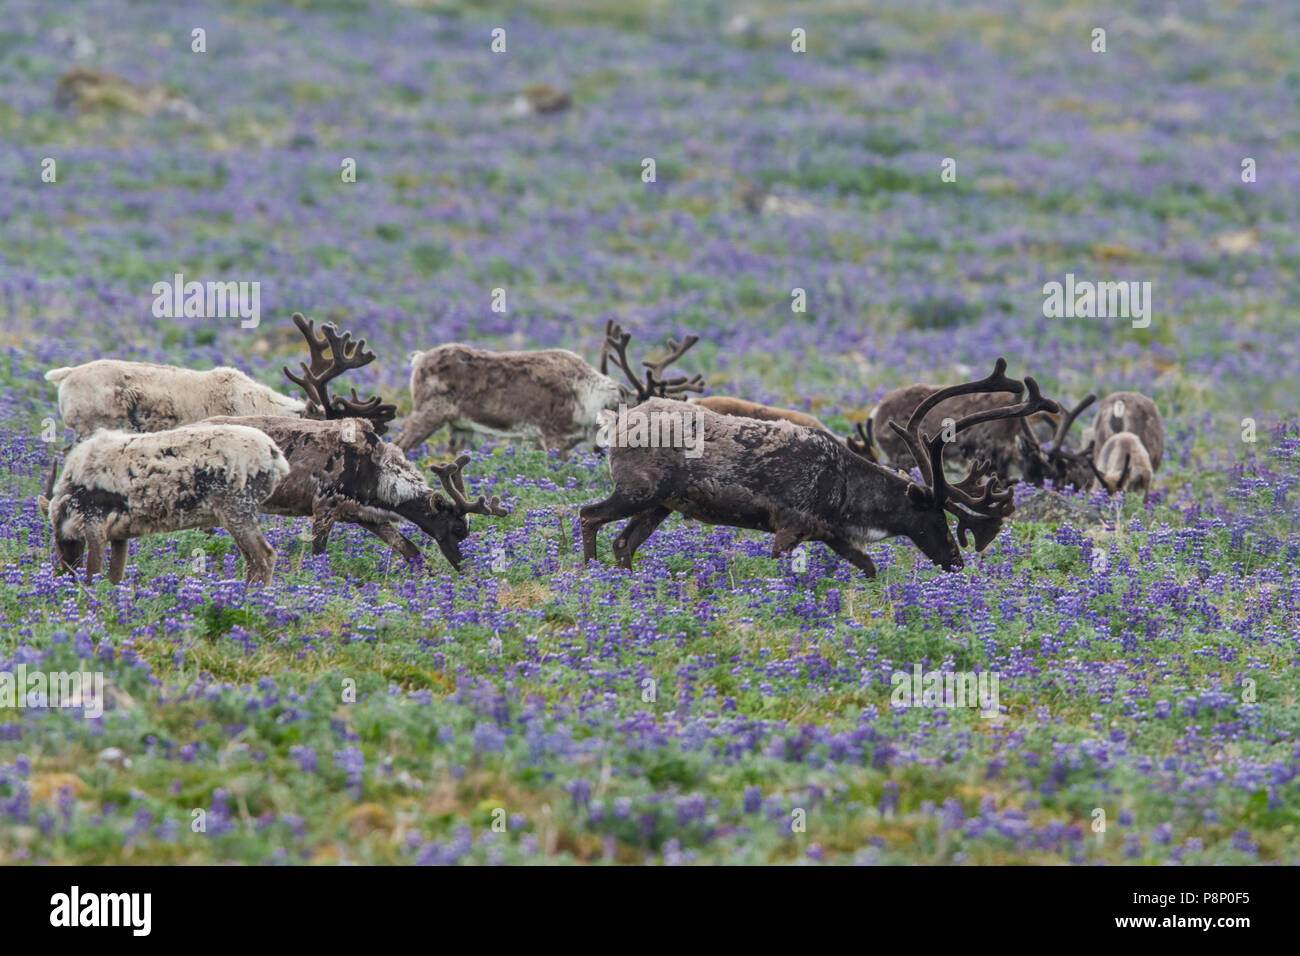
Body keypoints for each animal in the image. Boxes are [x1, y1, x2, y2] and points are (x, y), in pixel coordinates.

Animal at [39, 426, 287, 582]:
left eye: (58, 538)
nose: (68, 572)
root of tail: (276, 456)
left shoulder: (94, 527)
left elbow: (92, 575)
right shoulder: (119, 536)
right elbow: (114, 578)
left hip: (237, 513)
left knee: (264, 556)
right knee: (252, 560)